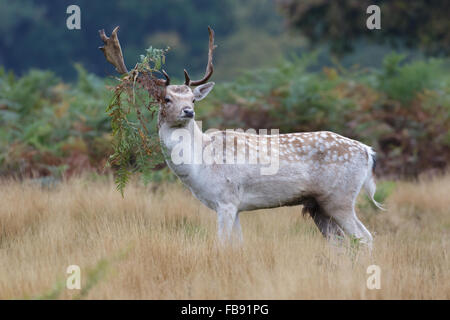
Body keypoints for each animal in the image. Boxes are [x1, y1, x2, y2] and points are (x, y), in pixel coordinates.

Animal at [98, 27, 384, 248]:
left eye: (192, 99)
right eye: (166, 99)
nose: (188, 111)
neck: (200, 165)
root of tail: (367, 151)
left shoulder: (226, 198)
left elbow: (222, 244)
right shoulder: (234, 206)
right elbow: (238, 245)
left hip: (340, 197)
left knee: (366, 238)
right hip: (318, 206)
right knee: (342, 244)